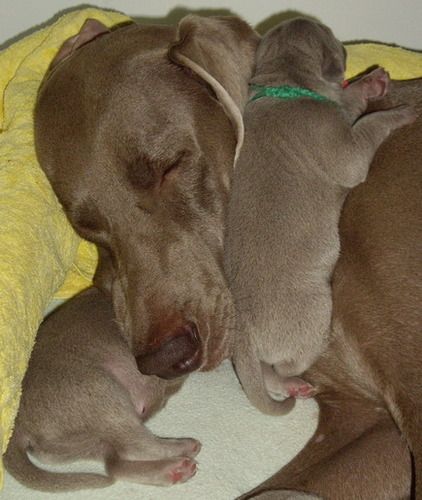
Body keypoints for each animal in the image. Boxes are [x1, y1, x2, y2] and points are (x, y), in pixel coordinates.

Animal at [4, 287, 201, 491]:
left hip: (88, 442)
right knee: (138, 446)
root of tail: (19, 427)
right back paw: (183, 448)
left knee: (115, 466)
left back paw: (174, 471)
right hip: (104, 394)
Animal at [224, 18, 416, 415]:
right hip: (313, 311)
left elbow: (350, 100)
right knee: (284, 365)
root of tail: (242, 336)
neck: (284, 83)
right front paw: (400, 112)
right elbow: (368, 128)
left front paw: (372, 82)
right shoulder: (343, 146)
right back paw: (296, 379)